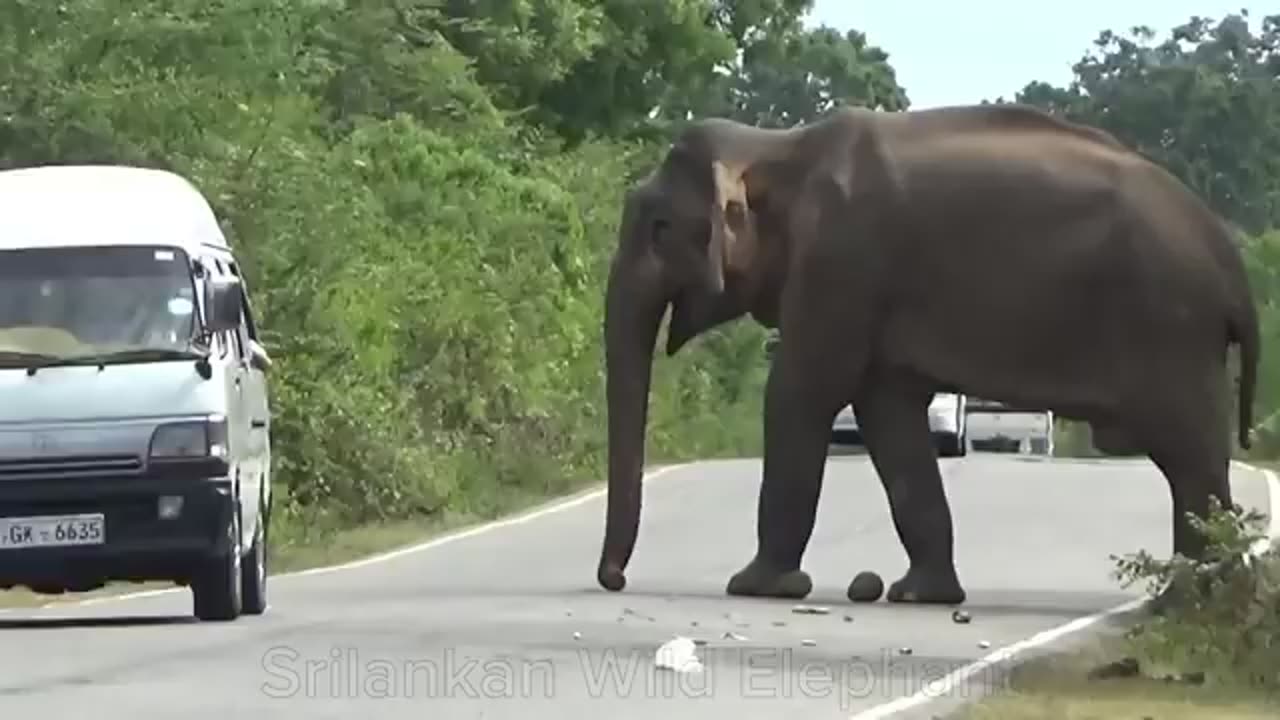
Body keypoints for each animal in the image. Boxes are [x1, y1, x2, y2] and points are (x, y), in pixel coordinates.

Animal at [596, 102, 1259, 604]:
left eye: (658, 227)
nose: (615, 578)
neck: (777, 146)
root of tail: (1231, 264)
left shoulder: (841, 264)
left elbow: (800, 392)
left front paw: (757, 587)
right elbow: (886, 415)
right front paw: (920, 595)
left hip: (1169, 327)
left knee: (1190, 456)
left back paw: (1190, 603)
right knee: (1191, 460)